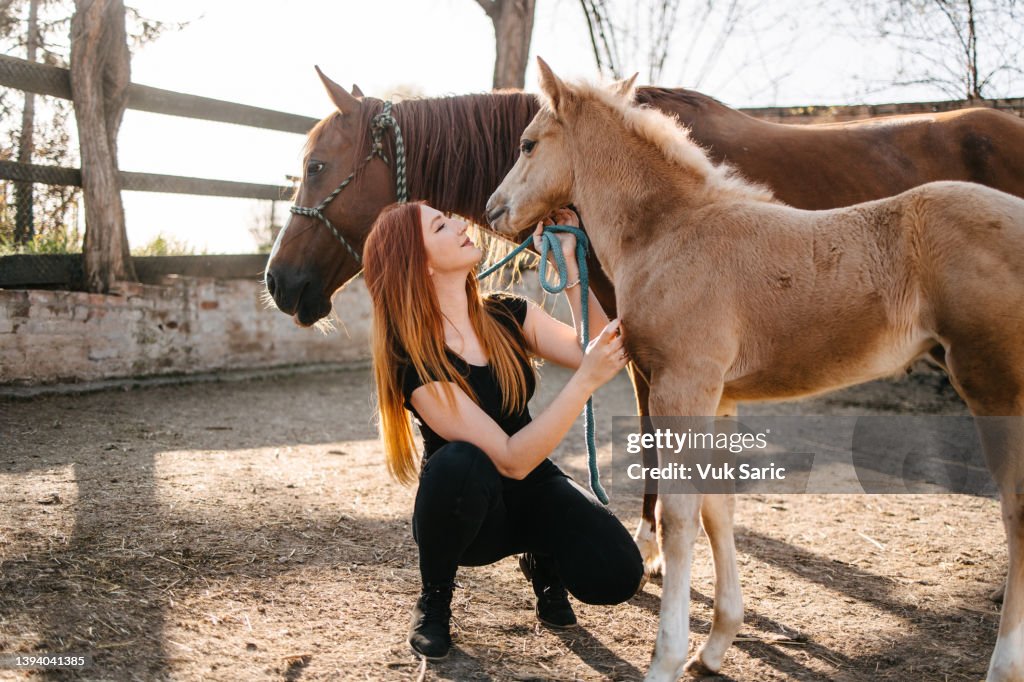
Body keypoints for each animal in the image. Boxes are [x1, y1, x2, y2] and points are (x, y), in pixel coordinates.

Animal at [484, 57, 1024, 682]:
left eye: (528, 144)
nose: (494, 209)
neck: (672, 232)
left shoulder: (684, 385)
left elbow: (679, 517)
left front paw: (666, 659)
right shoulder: (719, 397)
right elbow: (718, 509)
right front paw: (716, 645)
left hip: (993, 385)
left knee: (1017, 511)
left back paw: (1003, 665)